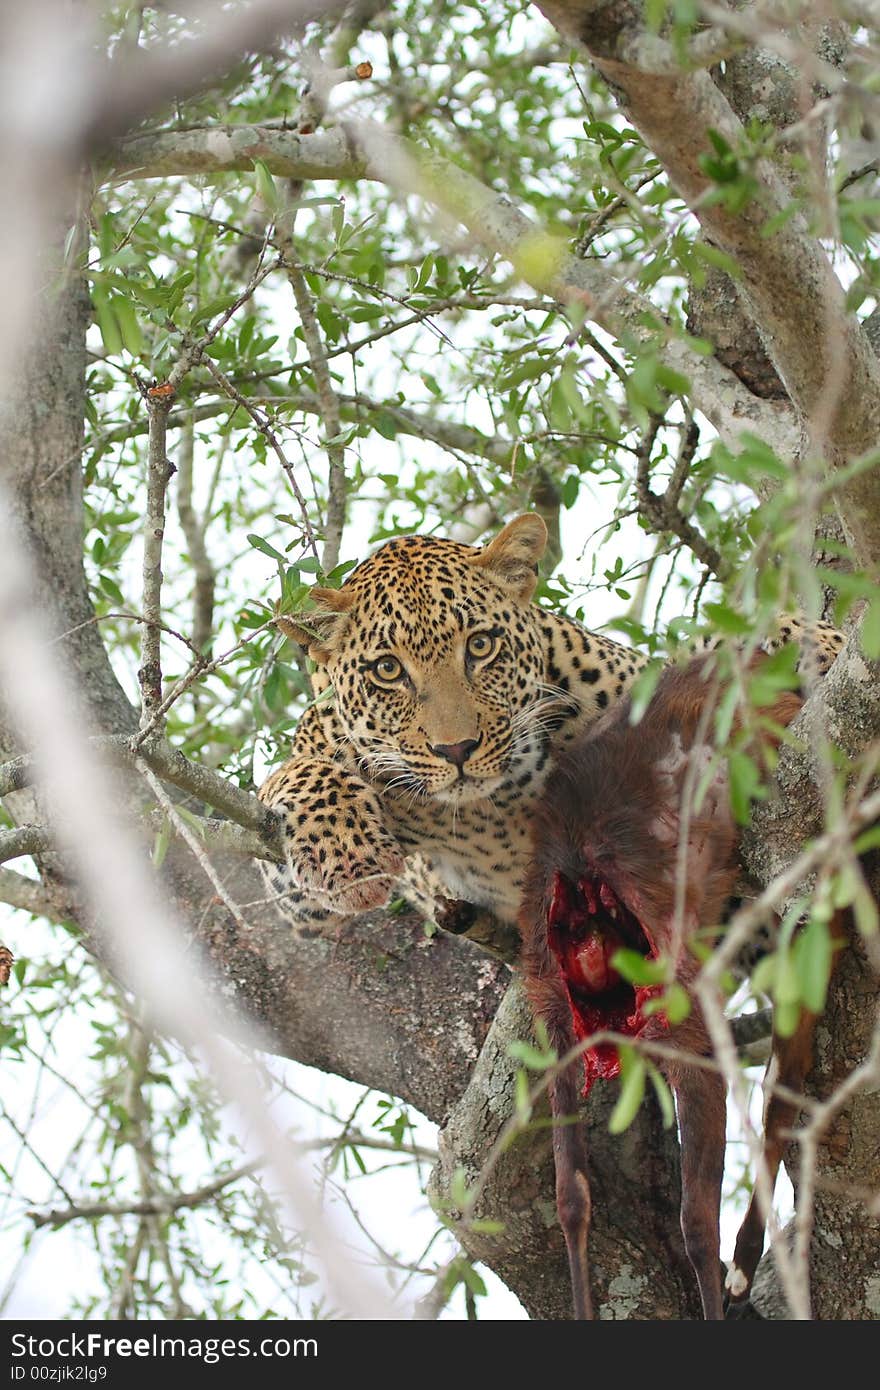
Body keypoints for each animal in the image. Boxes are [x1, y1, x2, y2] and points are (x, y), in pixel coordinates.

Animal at [255, 517, 845, 939]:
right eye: (387, 671)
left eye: (480, 646)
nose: (458, 749)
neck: (496, 805)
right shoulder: (299, 903)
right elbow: (292, 776)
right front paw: (345, 851)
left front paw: (810, 641)